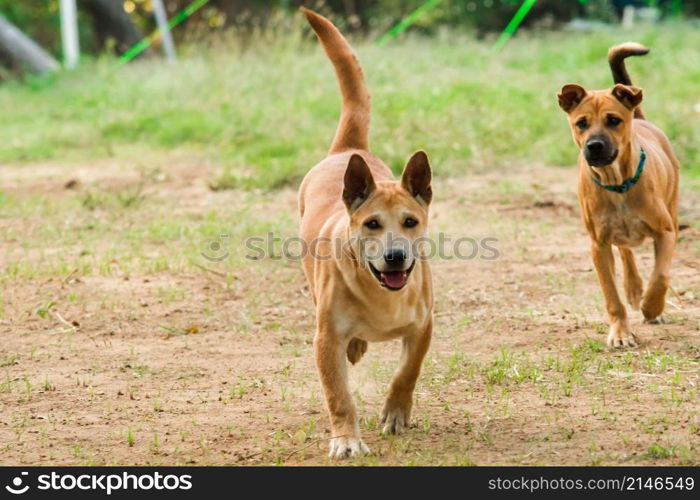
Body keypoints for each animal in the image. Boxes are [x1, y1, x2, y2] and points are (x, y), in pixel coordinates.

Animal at [300, 7, 434, 458]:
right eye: (372, 223)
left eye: (410, 222)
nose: (395, 256)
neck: (381, 293)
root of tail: (348, 151)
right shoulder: (325, 341)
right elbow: (338, 394)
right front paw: (346, 439)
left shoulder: (423, 327)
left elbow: (407, 372)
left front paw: (395, 412)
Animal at [556, 44, 680, 348]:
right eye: (581, 123)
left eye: (613, 120)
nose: (594, 146)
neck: (617, 184)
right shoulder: (598, 245)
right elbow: (612, 295)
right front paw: (621, 333)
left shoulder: (666, 232)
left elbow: (661, 275)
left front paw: (652, 307)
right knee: (625, 251)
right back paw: (633, 288)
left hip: (672, 207)